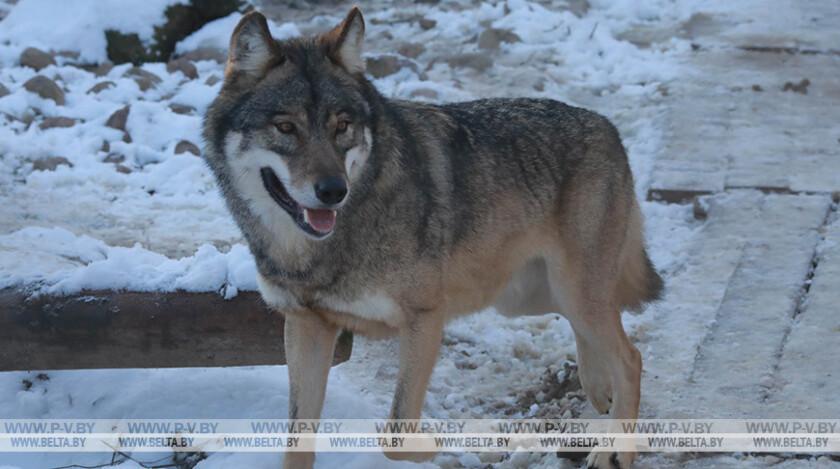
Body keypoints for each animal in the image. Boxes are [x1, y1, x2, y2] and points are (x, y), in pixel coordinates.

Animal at [203, 7, 663, 469]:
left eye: (342, 126)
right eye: (285, 127)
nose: (334, 191)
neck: (320, 250)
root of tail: (607, 126)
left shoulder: (424, 319)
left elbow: (395, 432)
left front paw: (436, 444)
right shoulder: (306, 325)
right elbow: (297, 438)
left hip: (570, 291)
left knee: (632, 357)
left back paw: (614, 451)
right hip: (529, 298)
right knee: (596, 336)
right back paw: (598, 389)